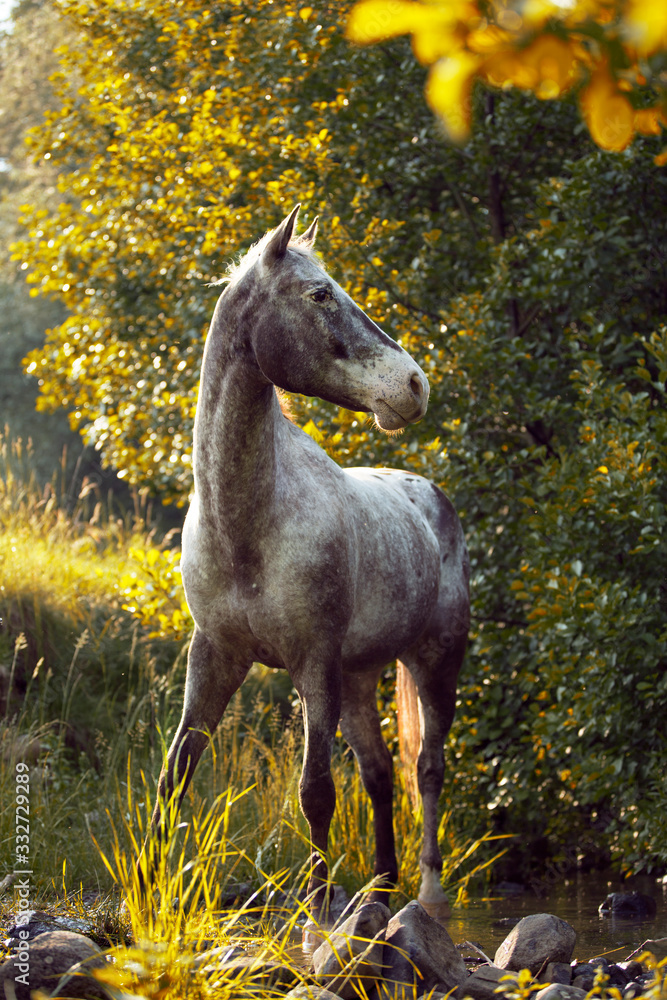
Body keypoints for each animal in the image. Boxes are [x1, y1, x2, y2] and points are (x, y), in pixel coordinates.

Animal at [148, 204, 469, 928]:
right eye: (319, 294)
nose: (413, 385)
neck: (247, 524)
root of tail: (432, 496)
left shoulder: (312, 661)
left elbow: (316, 790)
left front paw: (318, 916)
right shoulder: (216, 655)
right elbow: (176, 771)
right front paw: (149, 894)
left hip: (434, 663)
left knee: (427, 769)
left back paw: (428, 895)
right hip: (359, 677)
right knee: (380, 773)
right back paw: (380, 890)